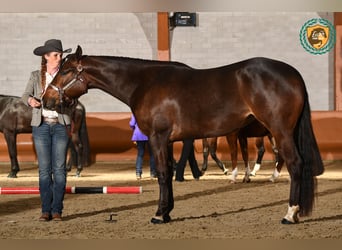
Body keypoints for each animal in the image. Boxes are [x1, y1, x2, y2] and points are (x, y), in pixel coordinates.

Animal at [42, 46, 324, 226]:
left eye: (65, 71)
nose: (46, 99)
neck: (144, 83)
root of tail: (293, 74)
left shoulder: (157, 138)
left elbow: (163, 174)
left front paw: (158, 215)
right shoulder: (167, 141)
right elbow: (167, 172)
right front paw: (167, 213)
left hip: (280, 131)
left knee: (295, 164)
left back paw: (290, 214)